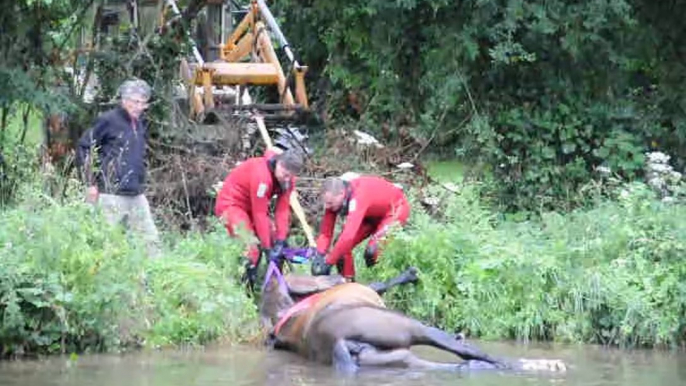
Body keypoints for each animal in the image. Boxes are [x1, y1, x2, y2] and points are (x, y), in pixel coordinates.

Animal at [260, 260, 568, 376]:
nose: (336, 275)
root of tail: (337, 343)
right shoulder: (373, 290)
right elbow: (383, 282)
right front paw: (410, 274)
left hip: (400, 358)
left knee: (465, 365)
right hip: (413, 328)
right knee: (475, 353)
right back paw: (543, 364)